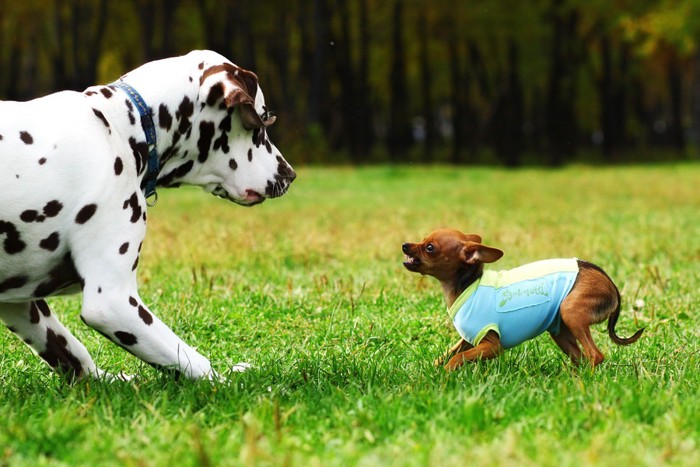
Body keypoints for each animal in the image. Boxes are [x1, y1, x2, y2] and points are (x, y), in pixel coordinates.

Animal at [0, 50, 296, 380]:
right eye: (260, 124)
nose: (290, 174)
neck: (121, 127)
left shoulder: (19, 304)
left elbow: (75, 356)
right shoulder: (112, 301)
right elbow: (193, 362)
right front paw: (229, 382)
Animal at [402, 229, 644, 372]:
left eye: (430, 248)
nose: (405, 245)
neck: (468, 285)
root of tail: (611, 284)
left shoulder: (491, 346)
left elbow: (458, 358)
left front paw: (445, 375)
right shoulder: (468, 340)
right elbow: (449, 353)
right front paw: (431, 370)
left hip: (570, 311)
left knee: (596, 355)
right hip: (560, 329)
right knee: (581, 358)